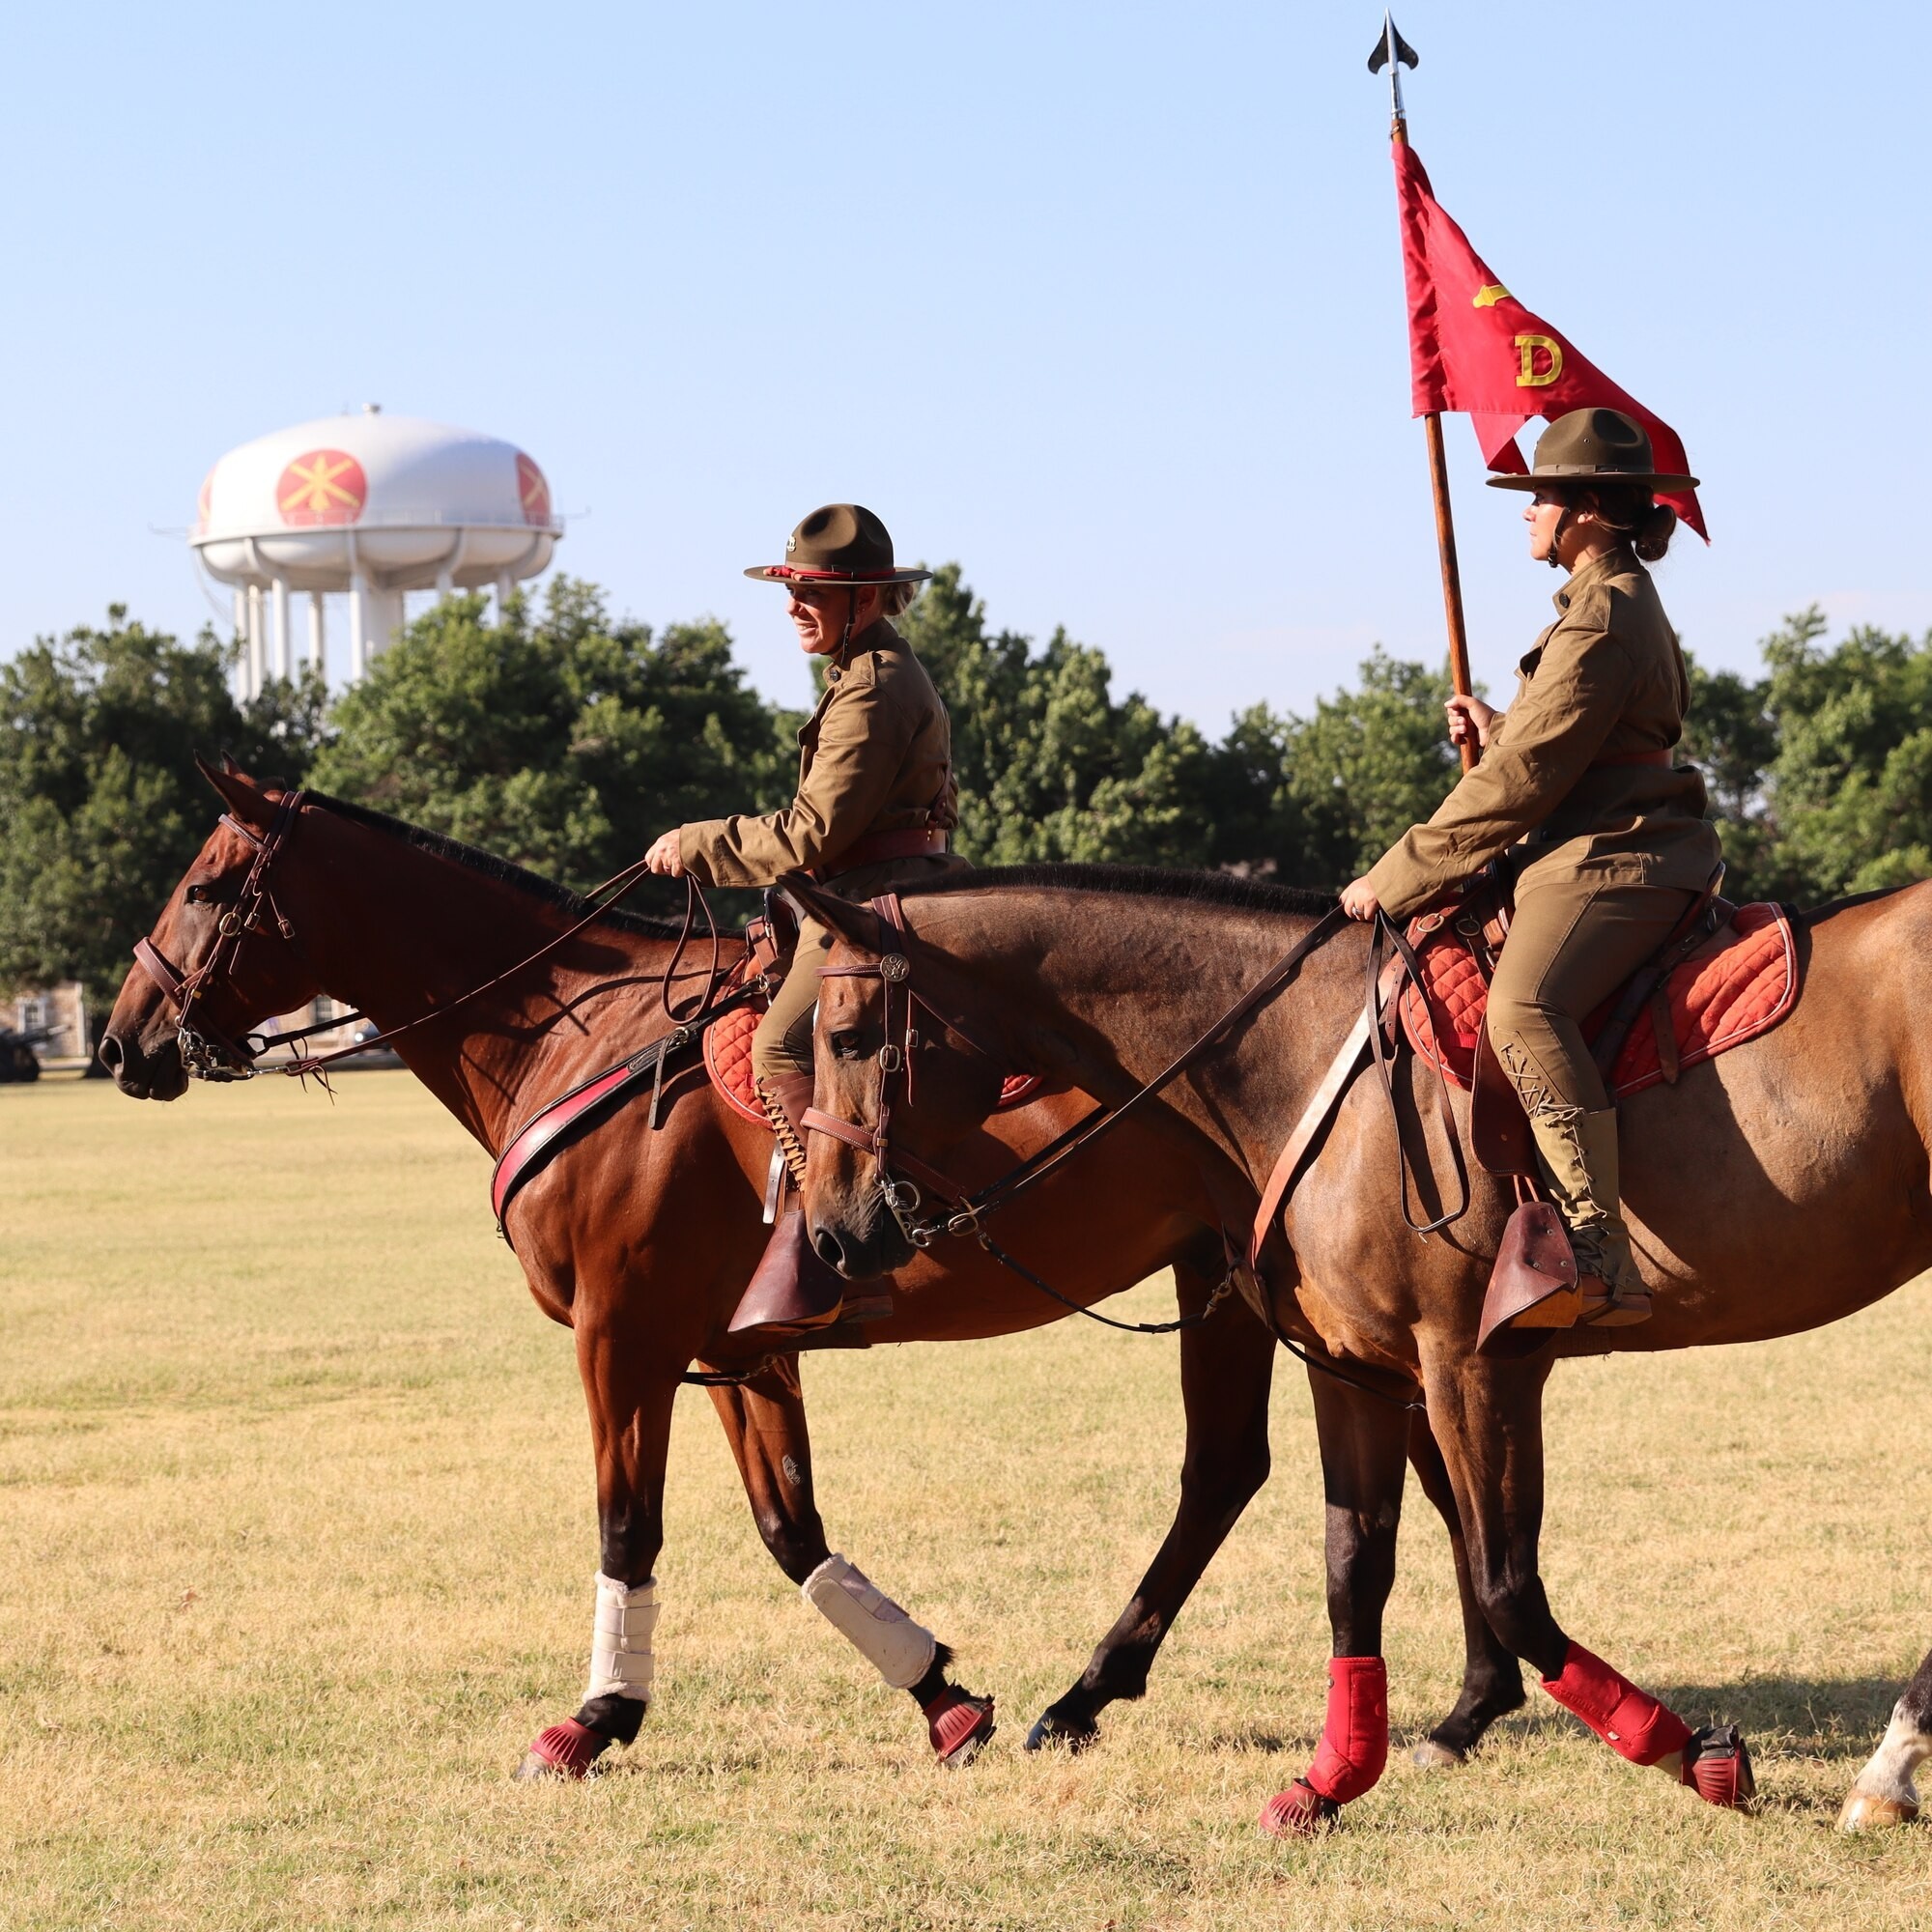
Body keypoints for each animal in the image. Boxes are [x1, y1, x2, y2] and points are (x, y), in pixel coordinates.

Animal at [98, 765, 1522, 1777]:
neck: (572, 1035)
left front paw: (594, 1716)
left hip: (1261, 1280)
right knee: (1308, 1465)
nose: (122, 1040)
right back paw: (1435, 1692)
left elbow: (627, 1526)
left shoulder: (622, 1337)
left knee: (1295, 1464)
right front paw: (944, 1697)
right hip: (1246, 1279)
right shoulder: (735, 1348)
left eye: (208, 889)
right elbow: (794, 1534)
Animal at [792, 869, 1932, 1832]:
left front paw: (1688, 1750)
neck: (1292, 1059)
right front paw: (1330, 1778)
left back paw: (1886, 1766)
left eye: (844, 1035)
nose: (829, 1236)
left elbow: (1508, 1584)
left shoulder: (1474, 1366)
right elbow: (1356, 1569)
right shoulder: (1358, 1372)